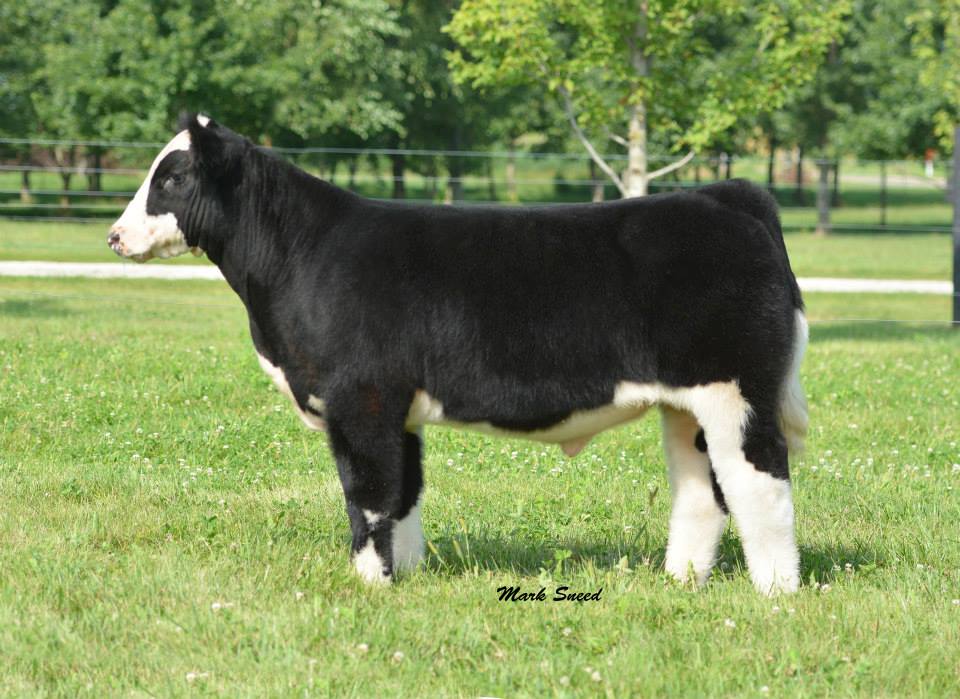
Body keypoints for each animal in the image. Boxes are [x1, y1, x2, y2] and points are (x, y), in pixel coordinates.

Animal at [108, 114, 808, 595]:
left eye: (172, 177)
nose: (114, 236)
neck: (299, 256)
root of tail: (727, 197)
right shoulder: (399, 409)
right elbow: (403, 495)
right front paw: (408, 576)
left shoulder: (360, 399)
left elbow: (368, 495)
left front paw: (370, 585)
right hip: (686, 404)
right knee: (702, 491)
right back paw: (681, 580)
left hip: (736, 388)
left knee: (761, 483)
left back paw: (777, 591)